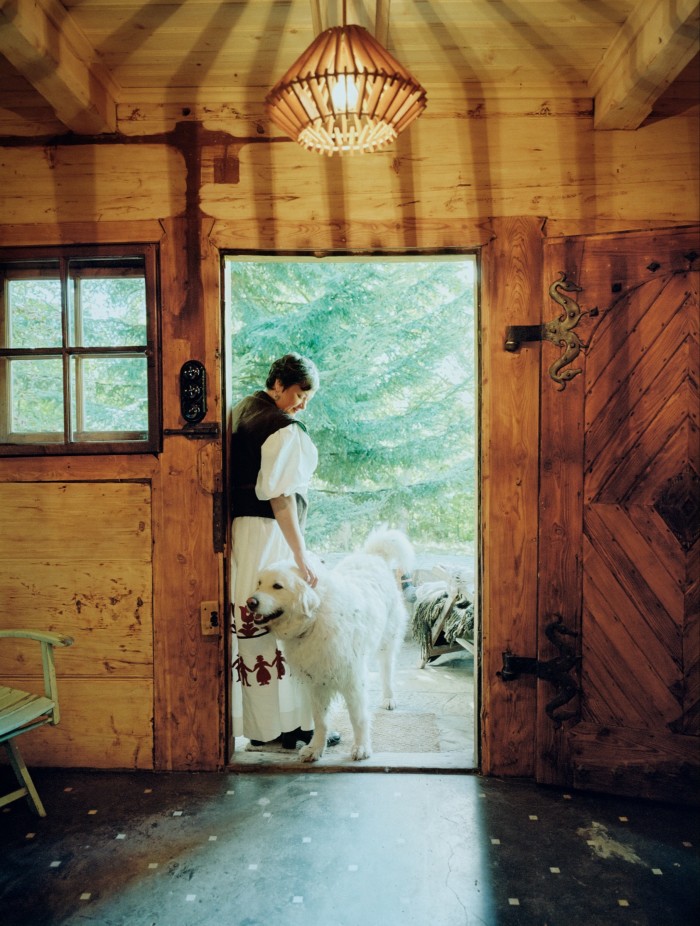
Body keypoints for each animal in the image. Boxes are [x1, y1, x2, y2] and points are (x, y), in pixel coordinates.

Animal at [246, 528, 412, 760]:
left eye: (277, 586)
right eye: (259, 583)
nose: (250, 603)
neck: (315, 618)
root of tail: (373, 554)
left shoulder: (352, 679)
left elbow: (358, 717)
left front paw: (361, 747)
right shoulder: (316, 682)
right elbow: (320, 720)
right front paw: (315, 748)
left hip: (388, 640)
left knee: (387, 671)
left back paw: (389, 698)